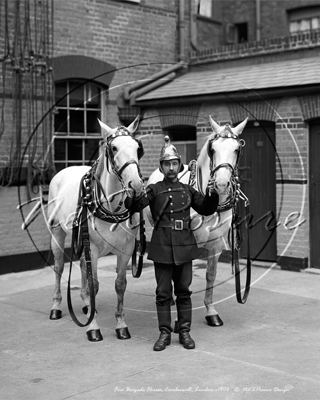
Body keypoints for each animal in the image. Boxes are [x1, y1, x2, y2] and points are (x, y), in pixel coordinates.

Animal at [47, 115, 145, 340]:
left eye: (137, 148)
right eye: (114, 148)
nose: (136, 185)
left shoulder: (126, 249)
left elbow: (120, 284)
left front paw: (121, 325)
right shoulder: (91, 247)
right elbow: (95, 285)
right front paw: (93, 327)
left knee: (83, 265)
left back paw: (85, 304)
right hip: (57, 233)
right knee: (58, 267)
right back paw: (56, 307)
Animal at [146, 115, 249, 328]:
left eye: (237, 149)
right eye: (213, 149)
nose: (221, 184)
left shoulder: (216, 246)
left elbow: (210, 276)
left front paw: (211, 311)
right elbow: (181, 279)